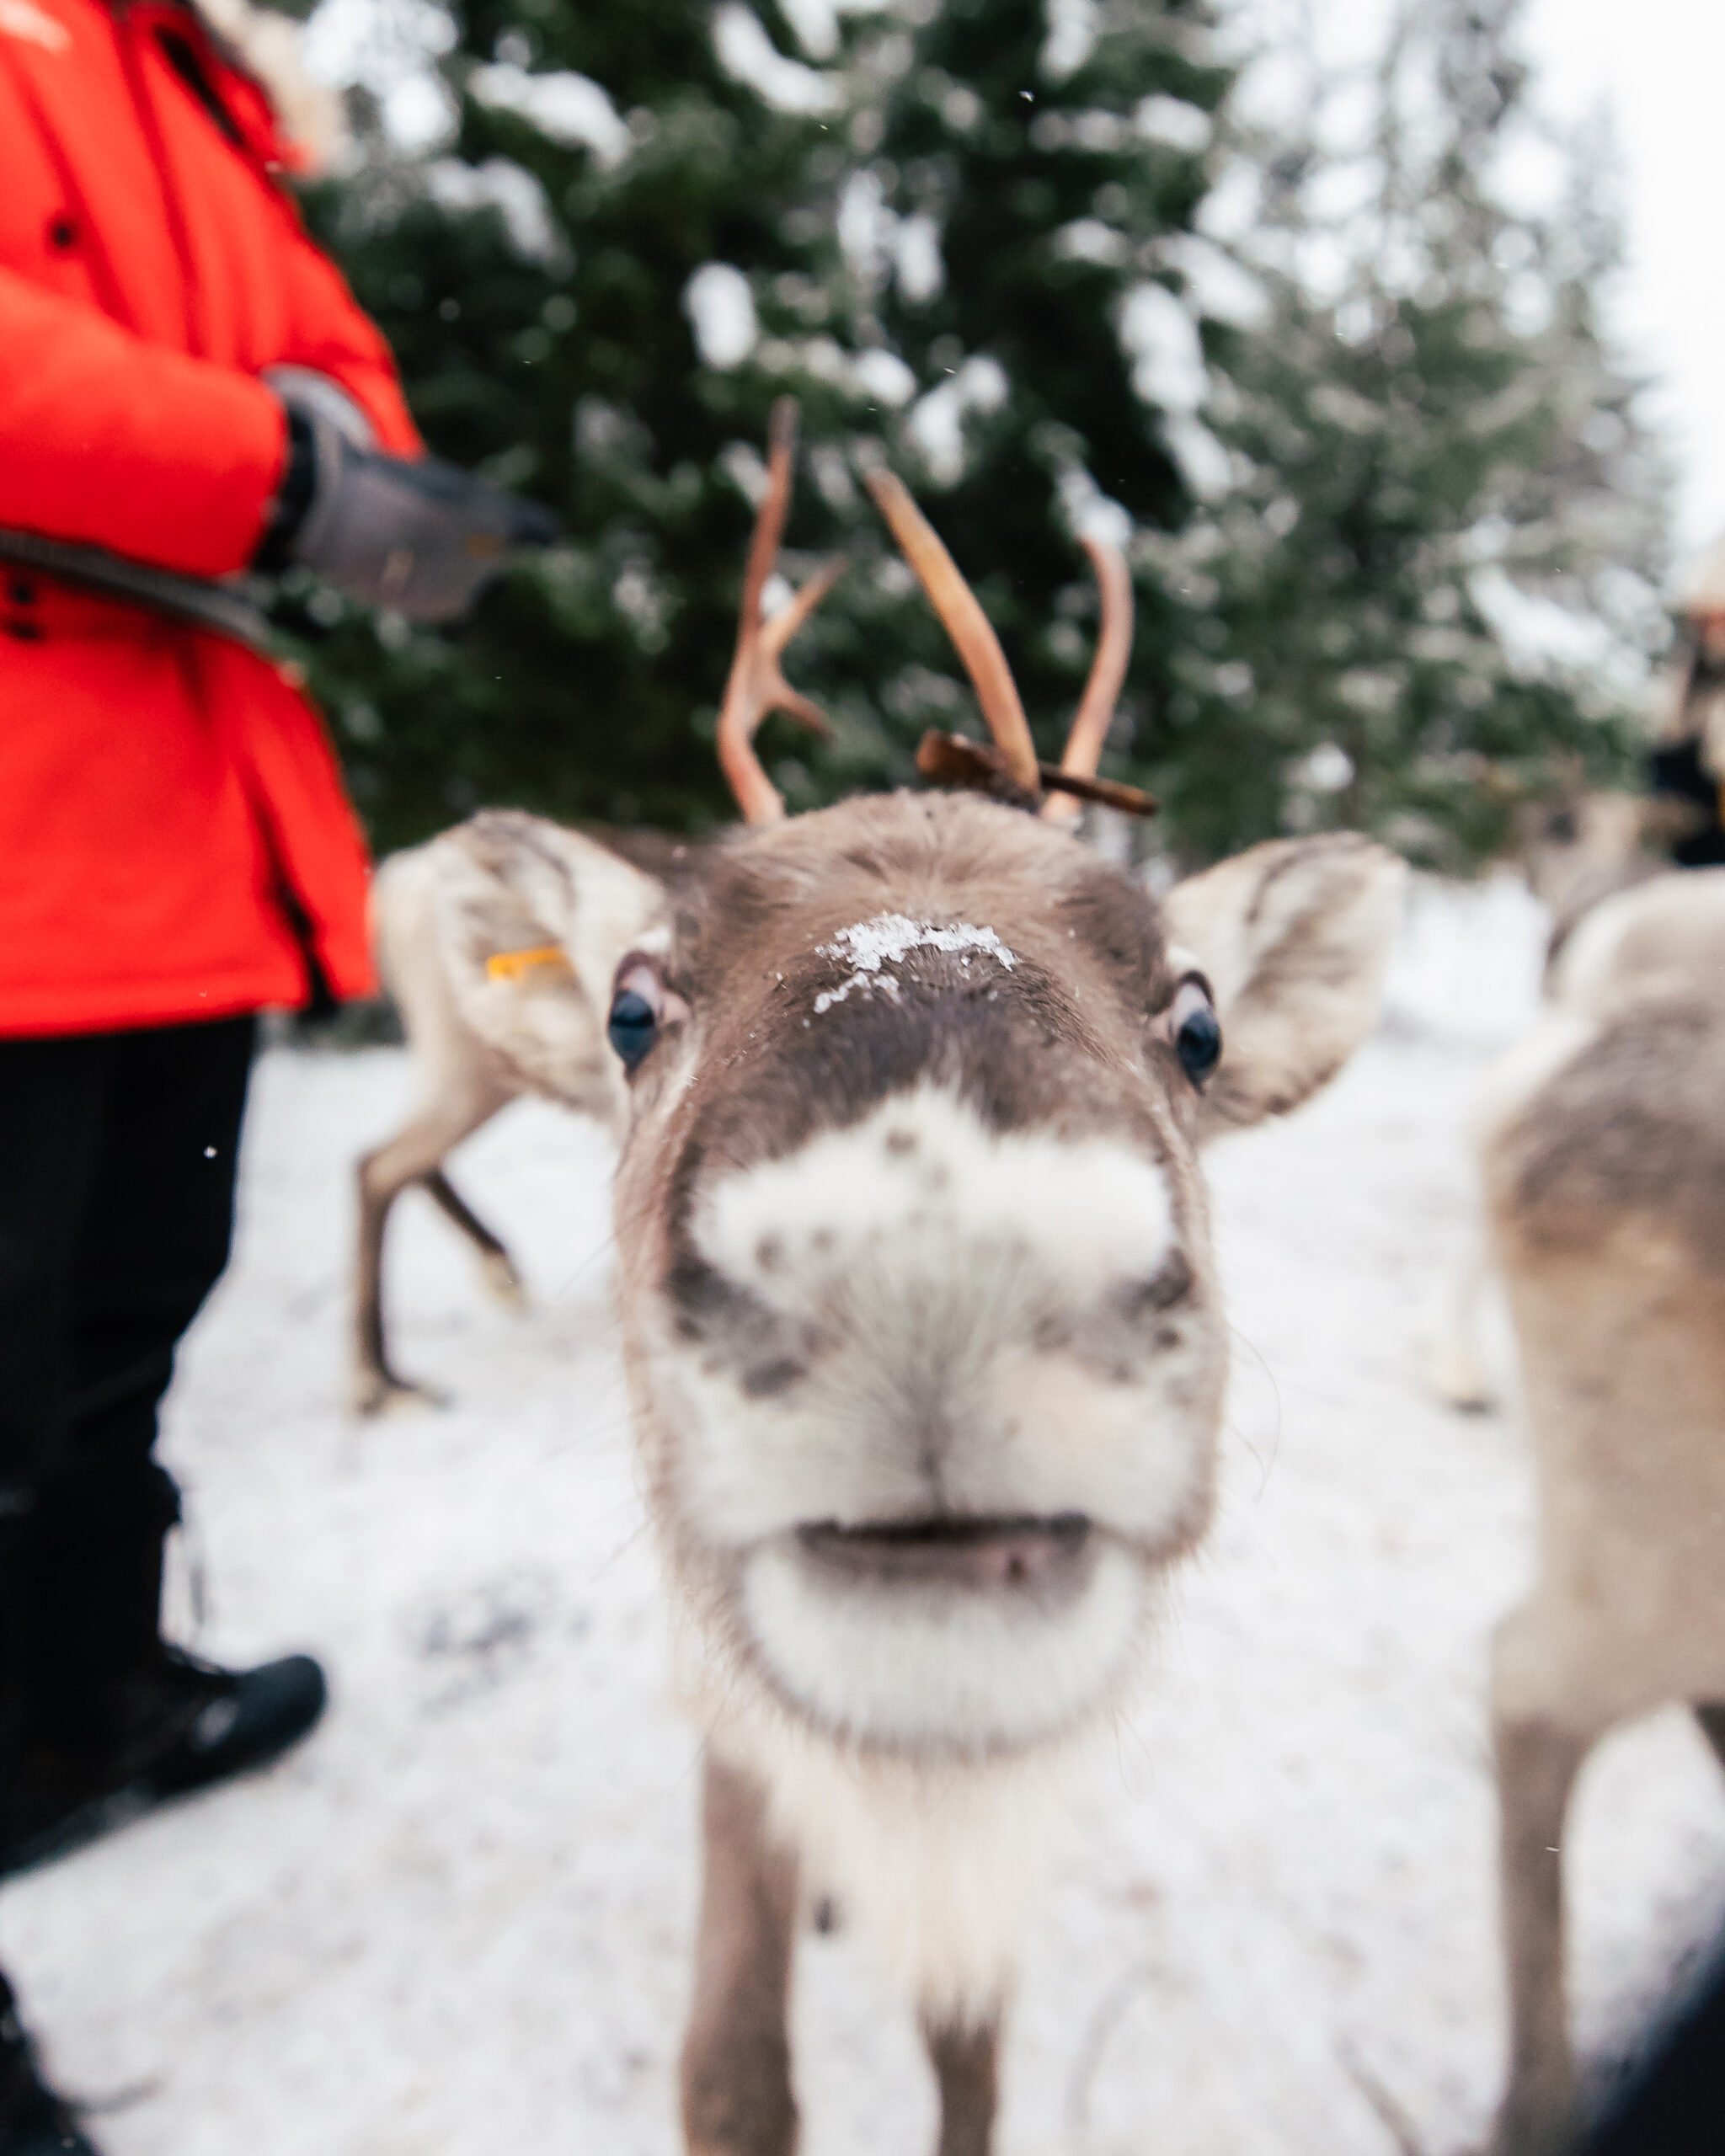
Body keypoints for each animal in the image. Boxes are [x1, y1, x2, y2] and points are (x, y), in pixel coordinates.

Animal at [369, 401, 1405, 2149]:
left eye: (1196, 1019)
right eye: (630, 1007)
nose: (934, 1262)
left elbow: (968, 2060)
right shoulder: (724, 1715)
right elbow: (731, 2074)